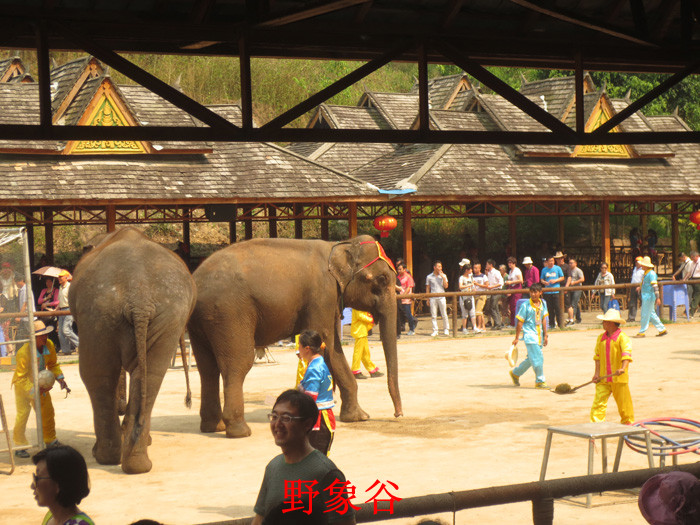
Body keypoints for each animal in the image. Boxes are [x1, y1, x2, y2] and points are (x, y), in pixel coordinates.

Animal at [69, 227, 196, 474]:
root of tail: (139, 297)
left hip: (101, 311)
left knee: (98, 375)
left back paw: (108, 457)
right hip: (158, 314)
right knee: (150, 374)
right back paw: (135, 463)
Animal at [187, 234, 402, 439]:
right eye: (382, 279)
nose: (398, 415)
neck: (340, 245)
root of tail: (195, 280)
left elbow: (332, 345)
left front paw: (358, 417)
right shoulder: (322, 294)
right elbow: (326, 342)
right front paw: (356, 416)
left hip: (203, 321)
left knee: (207, 368)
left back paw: (213, 427)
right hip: (229, 313)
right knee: (237, 364)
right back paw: (240, 431)